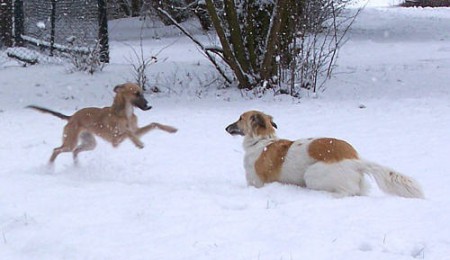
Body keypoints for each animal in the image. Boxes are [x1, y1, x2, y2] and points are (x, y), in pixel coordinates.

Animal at [28, 82, 178, 164]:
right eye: (136, 93)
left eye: (142, 92)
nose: (149, 106)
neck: (124, 114)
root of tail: (71, 117)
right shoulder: (115, 140)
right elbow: (128, 132)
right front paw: (138, 143)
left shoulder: (136, 131)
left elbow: (153, 124)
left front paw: (171, 129)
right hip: (70, 142)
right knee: (56, 150)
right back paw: (49, 168)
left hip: (89, 143)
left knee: (75, 151)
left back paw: (77, 167)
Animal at [227, 110, 424, 198]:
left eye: (240, 118)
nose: (226, 128)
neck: (261, 141)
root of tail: (356, 161)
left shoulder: (256, 182)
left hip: (311, 175)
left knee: (347, 192)